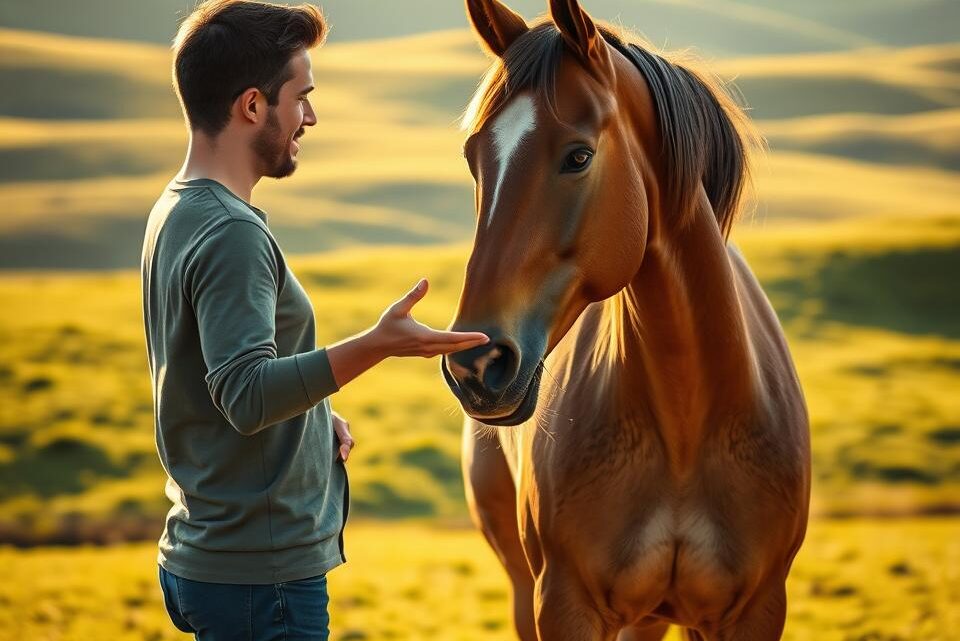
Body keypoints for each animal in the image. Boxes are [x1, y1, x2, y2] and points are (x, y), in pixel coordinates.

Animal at [440, 1, 811, 639]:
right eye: (474, 159)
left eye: (578, 156)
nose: (475, 362)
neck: (687, 425)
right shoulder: (562, 604)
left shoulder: (756, 610)